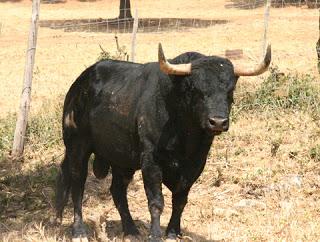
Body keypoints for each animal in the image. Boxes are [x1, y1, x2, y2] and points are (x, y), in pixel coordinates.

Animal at [55, 44, 270, 242]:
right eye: (196, 89)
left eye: (230, 90)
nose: (218, 122)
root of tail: (80, 84)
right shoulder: (151, 161)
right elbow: (156, 201)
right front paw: (155, 235)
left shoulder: (196, 164)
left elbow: (180, 199)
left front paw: (173, 232)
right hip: (77, 146)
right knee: (77, 185)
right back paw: (79, 231)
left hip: (121, 159)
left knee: (117, 190)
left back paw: (130, 230)